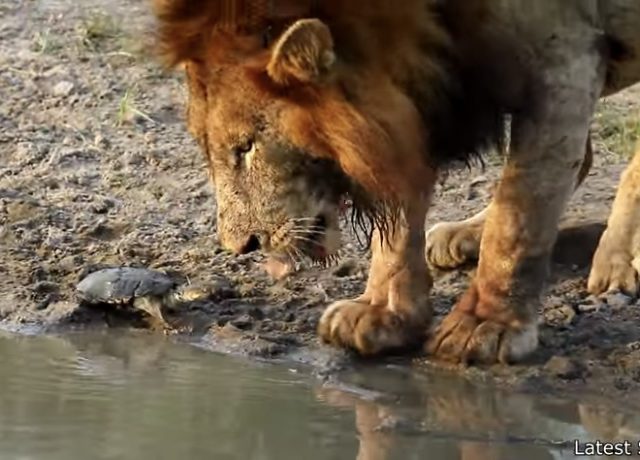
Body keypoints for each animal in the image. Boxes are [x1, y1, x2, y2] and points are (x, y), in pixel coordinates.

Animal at [151, 0, 640, 364]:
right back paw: (464, 234)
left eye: (246, 147)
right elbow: (399, 218)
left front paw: (486, 325)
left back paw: (618, 262)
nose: (241, 246)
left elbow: (519, 216)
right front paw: (384, 313)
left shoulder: (567, 63)